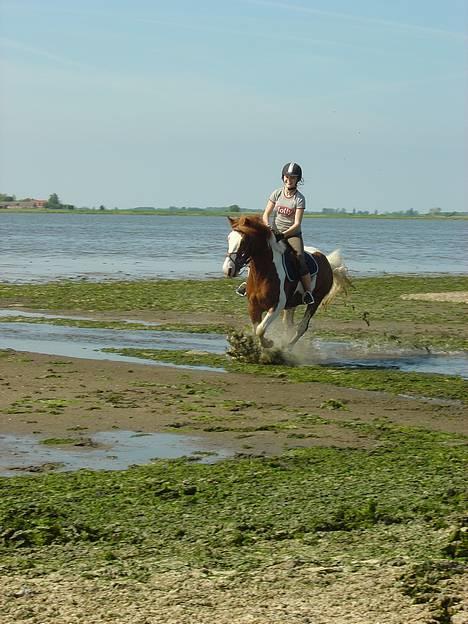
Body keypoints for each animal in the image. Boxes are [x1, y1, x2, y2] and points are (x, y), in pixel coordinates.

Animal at [223, 216, 352, 348]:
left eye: (243, 241)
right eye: (229, 238)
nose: (228, 269)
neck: (264, 274)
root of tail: (327, 261)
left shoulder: (277, 305)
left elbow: (260, 329)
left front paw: (269, 343)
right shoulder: (253, 306)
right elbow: (256, 329)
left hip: (315, 300)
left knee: (302, 327)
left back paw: (287, 347)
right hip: (291, 304)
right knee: (288, 324)